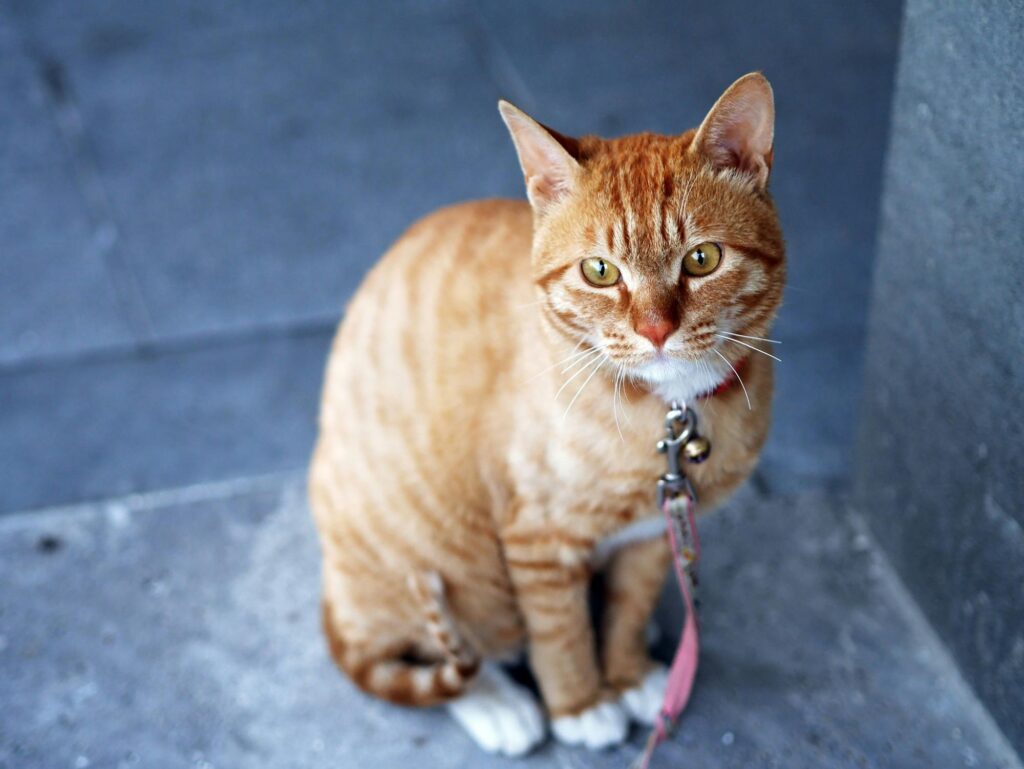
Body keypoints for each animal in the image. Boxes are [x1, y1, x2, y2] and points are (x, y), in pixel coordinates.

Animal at [307, 75, 786, 753]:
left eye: (702, 260)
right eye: (599, 271)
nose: (655, 330)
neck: (669, 411)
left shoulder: (653, 531)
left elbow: (630, 604)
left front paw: (628, 672)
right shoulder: (537, 536)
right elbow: (559, 634)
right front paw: (581, 703)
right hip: (436, 564)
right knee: (446, 651)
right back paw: (499, 704)